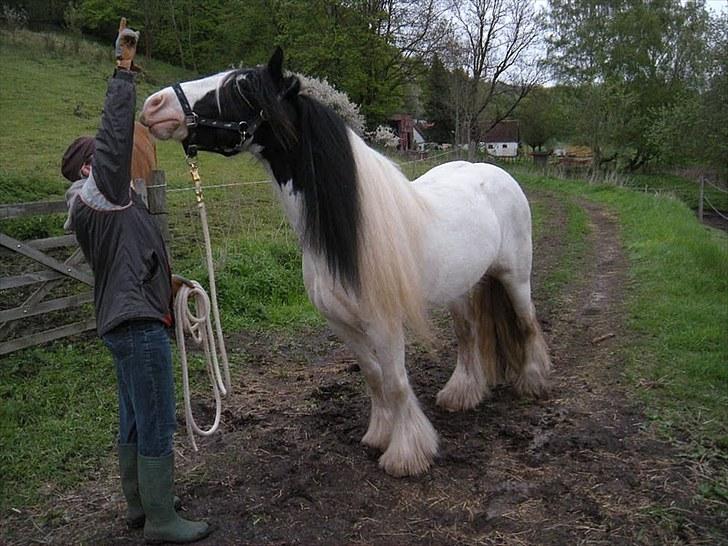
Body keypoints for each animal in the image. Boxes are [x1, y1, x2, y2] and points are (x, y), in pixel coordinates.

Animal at [141, 49, 552, 474]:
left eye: (239, 87)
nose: (154, 105)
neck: (350, 233)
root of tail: (492, 171)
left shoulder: (385, 324)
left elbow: (395, 382)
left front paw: (406, 454)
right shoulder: (342, 323)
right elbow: (373, 377)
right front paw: (378, 435)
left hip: (515, 278)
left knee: (527, 323)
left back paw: (533, 383)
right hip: (463, 285)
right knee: (468, 335)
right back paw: (461, 395)